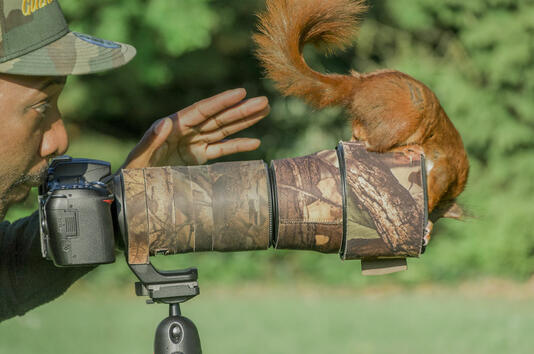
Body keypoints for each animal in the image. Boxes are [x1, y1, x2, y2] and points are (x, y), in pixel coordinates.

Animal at [255, 0, 468, 242]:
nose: (427, 229)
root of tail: (359, 86)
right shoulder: (445, 167)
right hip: (405, 118)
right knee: (373, 144)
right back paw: (405, 148)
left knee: (360, 133)